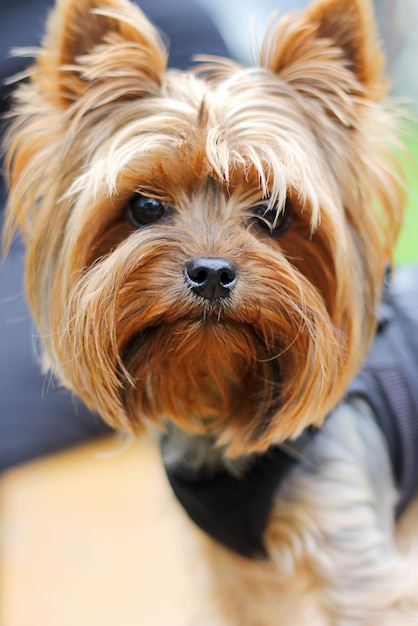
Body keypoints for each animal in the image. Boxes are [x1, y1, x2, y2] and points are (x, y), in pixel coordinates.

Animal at [3, 0, 418, 620]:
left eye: (273, 213)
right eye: (145, 206)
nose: (212, 272)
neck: (219, 399)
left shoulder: (353, 553)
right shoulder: (235, 575)